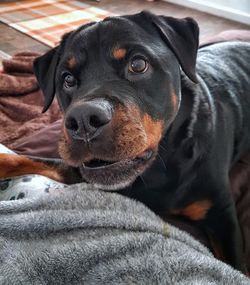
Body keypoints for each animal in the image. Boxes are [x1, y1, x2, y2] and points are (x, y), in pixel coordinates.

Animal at [0, 12, 250, 272]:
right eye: (67, 79)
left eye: (138, 64)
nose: (83, 120)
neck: (159, 165)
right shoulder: (80, 171)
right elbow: (24, 159)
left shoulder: (222, 215)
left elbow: (237, 269)